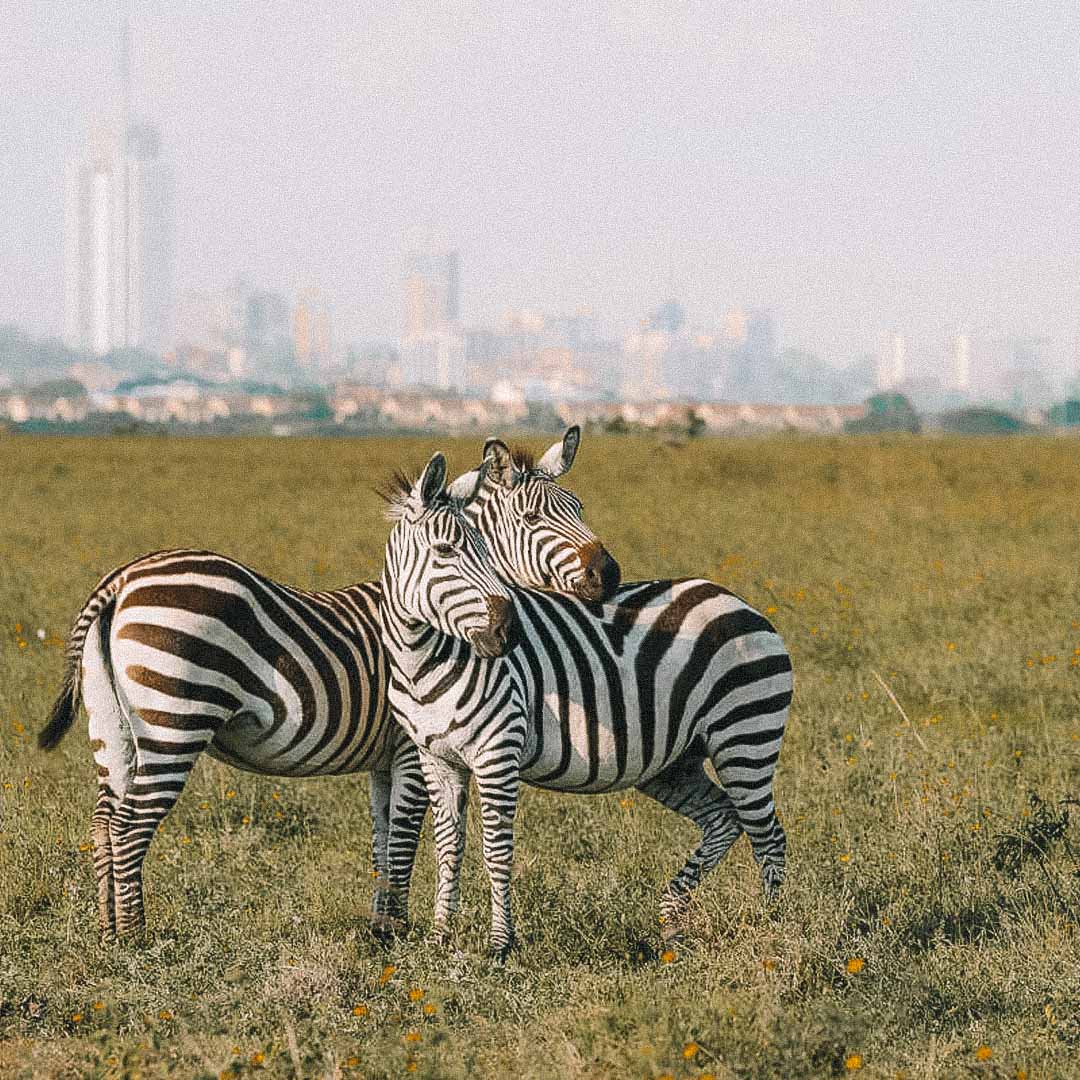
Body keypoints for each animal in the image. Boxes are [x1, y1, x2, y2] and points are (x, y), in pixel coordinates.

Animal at [384, 429, 790, 954]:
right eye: (446, 552)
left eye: (578, 507)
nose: (508, 632)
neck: (424, 657)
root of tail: (739, 601)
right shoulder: (436, 757)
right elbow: (447, 848)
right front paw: (438, 939)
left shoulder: (498, 753)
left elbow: (496, 851)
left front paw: (500, 945)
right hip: (675, 762)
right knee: (724, 819)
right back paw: (672, 920)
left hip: (746, 737)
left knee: (768, 835)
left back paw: (774, 928)